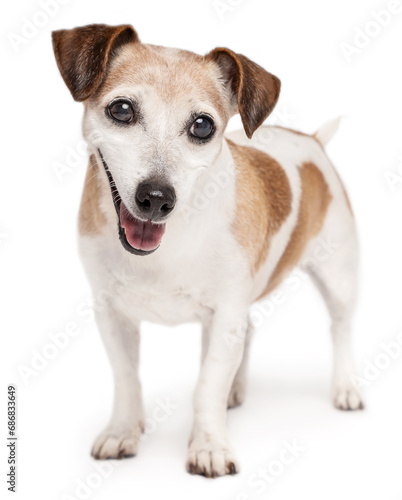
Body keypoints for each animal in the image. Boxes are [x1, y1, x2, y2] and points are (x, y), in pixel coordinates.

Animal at [51, 23, 362, 476]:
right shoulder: (112, 314)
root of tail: (312, 141)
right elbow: (127, 378)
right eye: (122, 110)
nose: (157, 198)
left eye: (201, 126)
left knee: (340, 329)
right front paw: (123, 431)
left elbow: (206, 386)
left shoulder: (225, 315)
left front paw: (209, 445)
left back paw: (345, 387)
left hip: (338, 278)